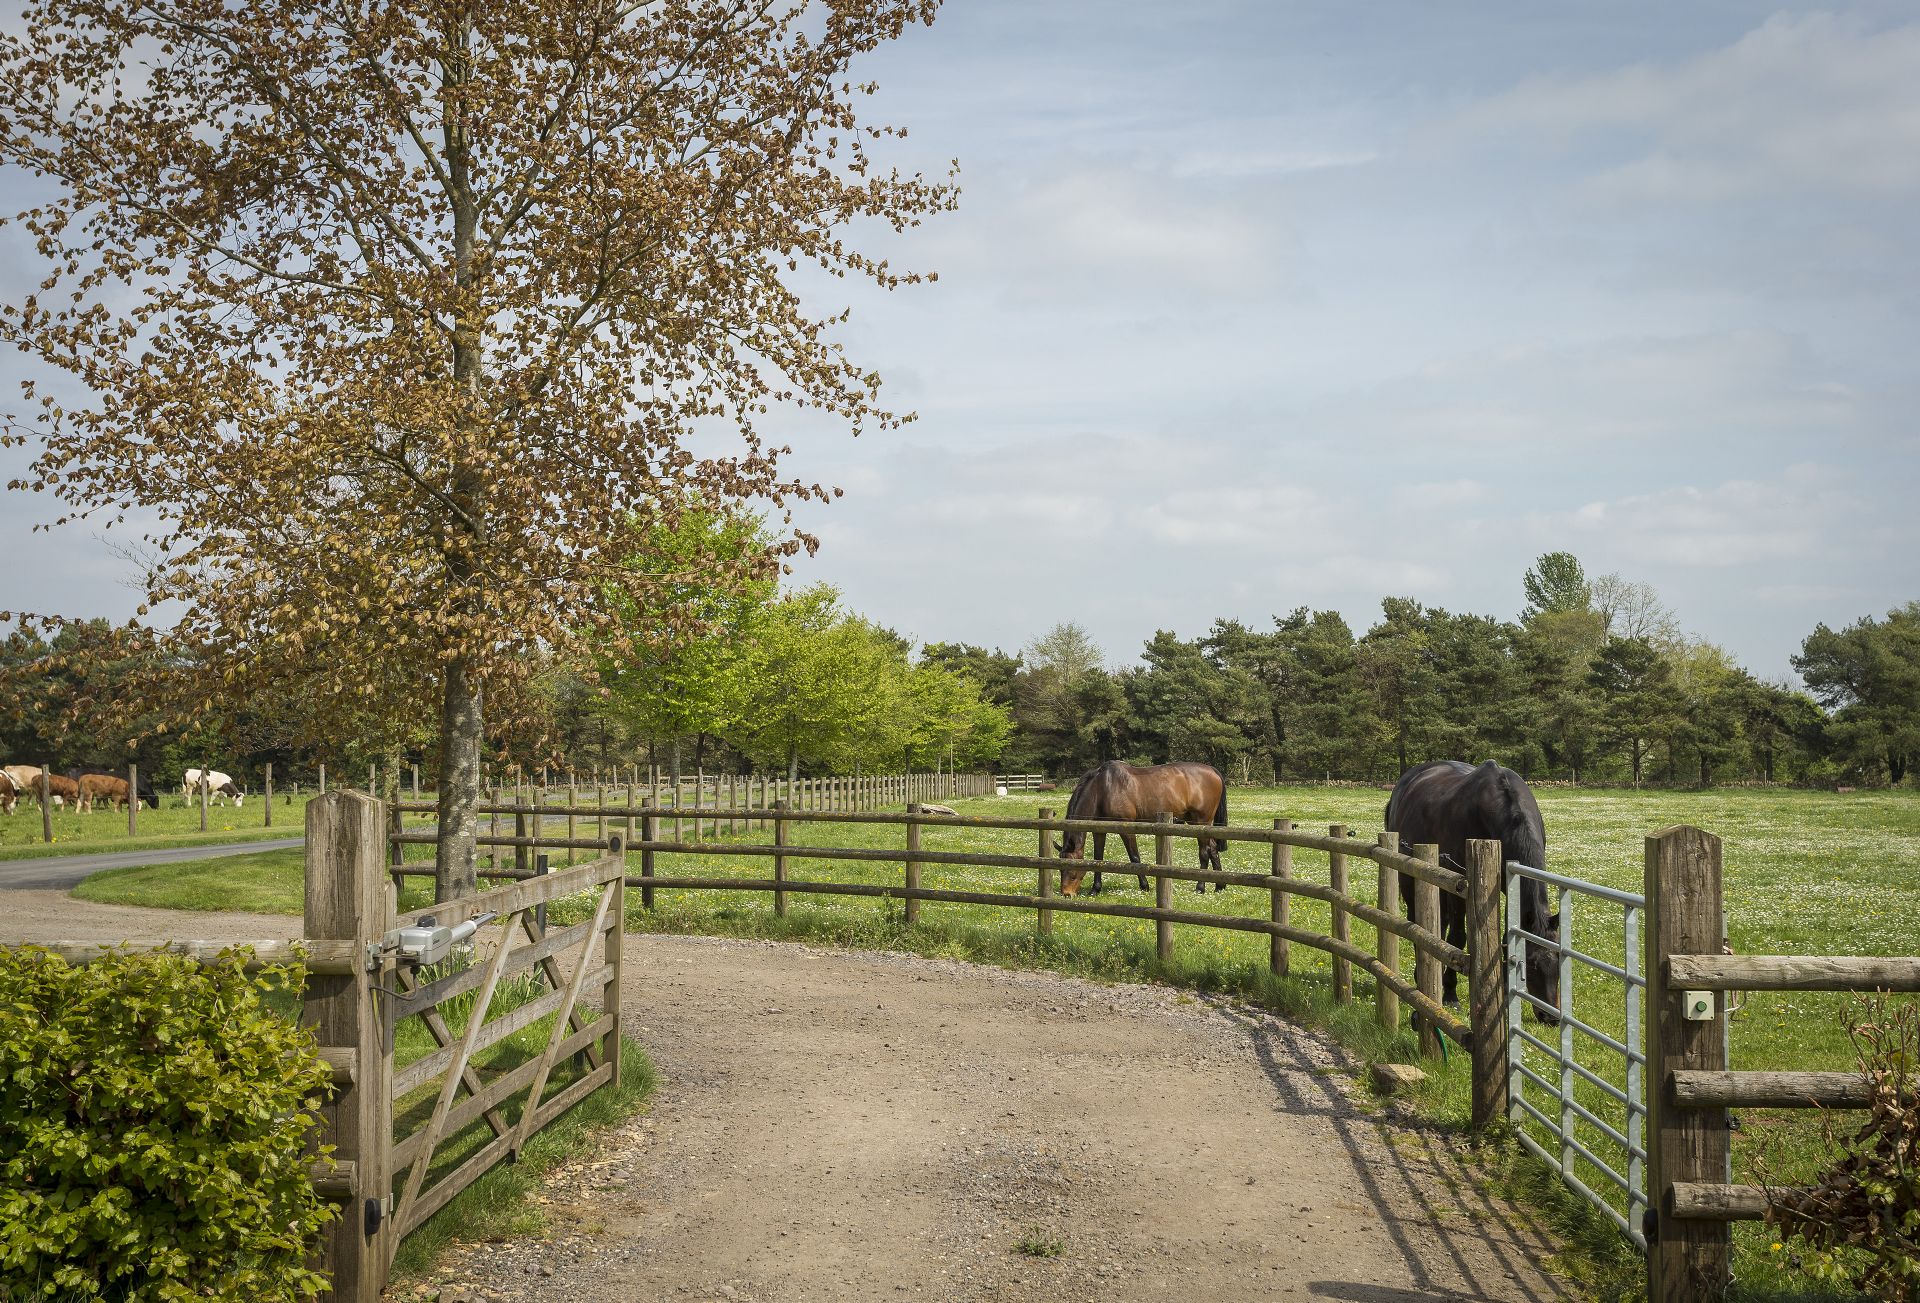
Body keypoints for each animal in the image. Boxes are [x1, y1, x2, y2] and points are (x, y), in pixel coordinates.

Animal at [1052, 763, 1228, 898]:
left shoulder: (1126, 828)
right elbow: (1098, 858)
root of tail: (1213, 770)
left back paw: (1200, 887)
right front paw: (1095, 889)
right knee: (1213, 849)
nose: (1066, 893)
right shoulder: (1099, 831)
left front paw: (1145, 886)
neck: (1102, 789)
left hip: (1200, 822)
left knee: (1204, 852)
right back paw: (1219, 886)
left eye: (1072, 872)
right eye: (1060, 869)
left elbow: (1134, 857)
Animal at [1390, 759, 1566, 1020]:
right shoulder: (1459, 884)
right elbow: (1457, 938)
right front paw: (1450, 994)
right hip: (1413, 876)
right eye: (1531, 964)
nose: (1550, 1018)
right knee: (1421, 922)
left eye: (1557, 961)